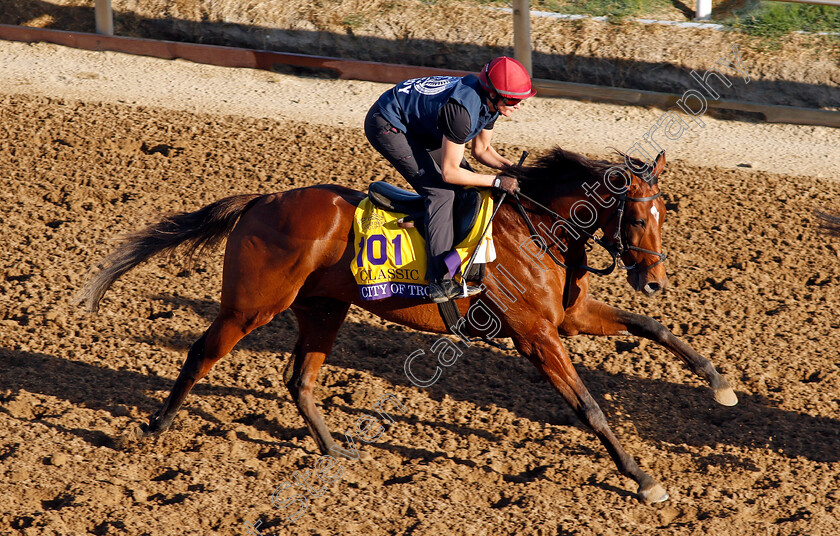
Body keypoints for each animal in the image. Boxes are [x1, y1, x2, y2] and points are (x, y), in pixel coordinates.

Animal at [79, 146, 736, 502]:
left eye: (665, 212)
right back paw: (153, 429)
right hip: (250, 306)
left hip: (323, 309)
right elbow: (589, 407)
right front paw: (643, 478)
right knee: (201, 355)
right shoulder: (536, 335)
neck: (539, 229)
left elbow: (654, 328)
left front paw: (719, 382)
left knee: (299, 381)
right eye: (636, 216)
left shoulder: (569, 317)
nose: (654, 278)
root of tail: (261, 200)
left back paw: (336, 451)